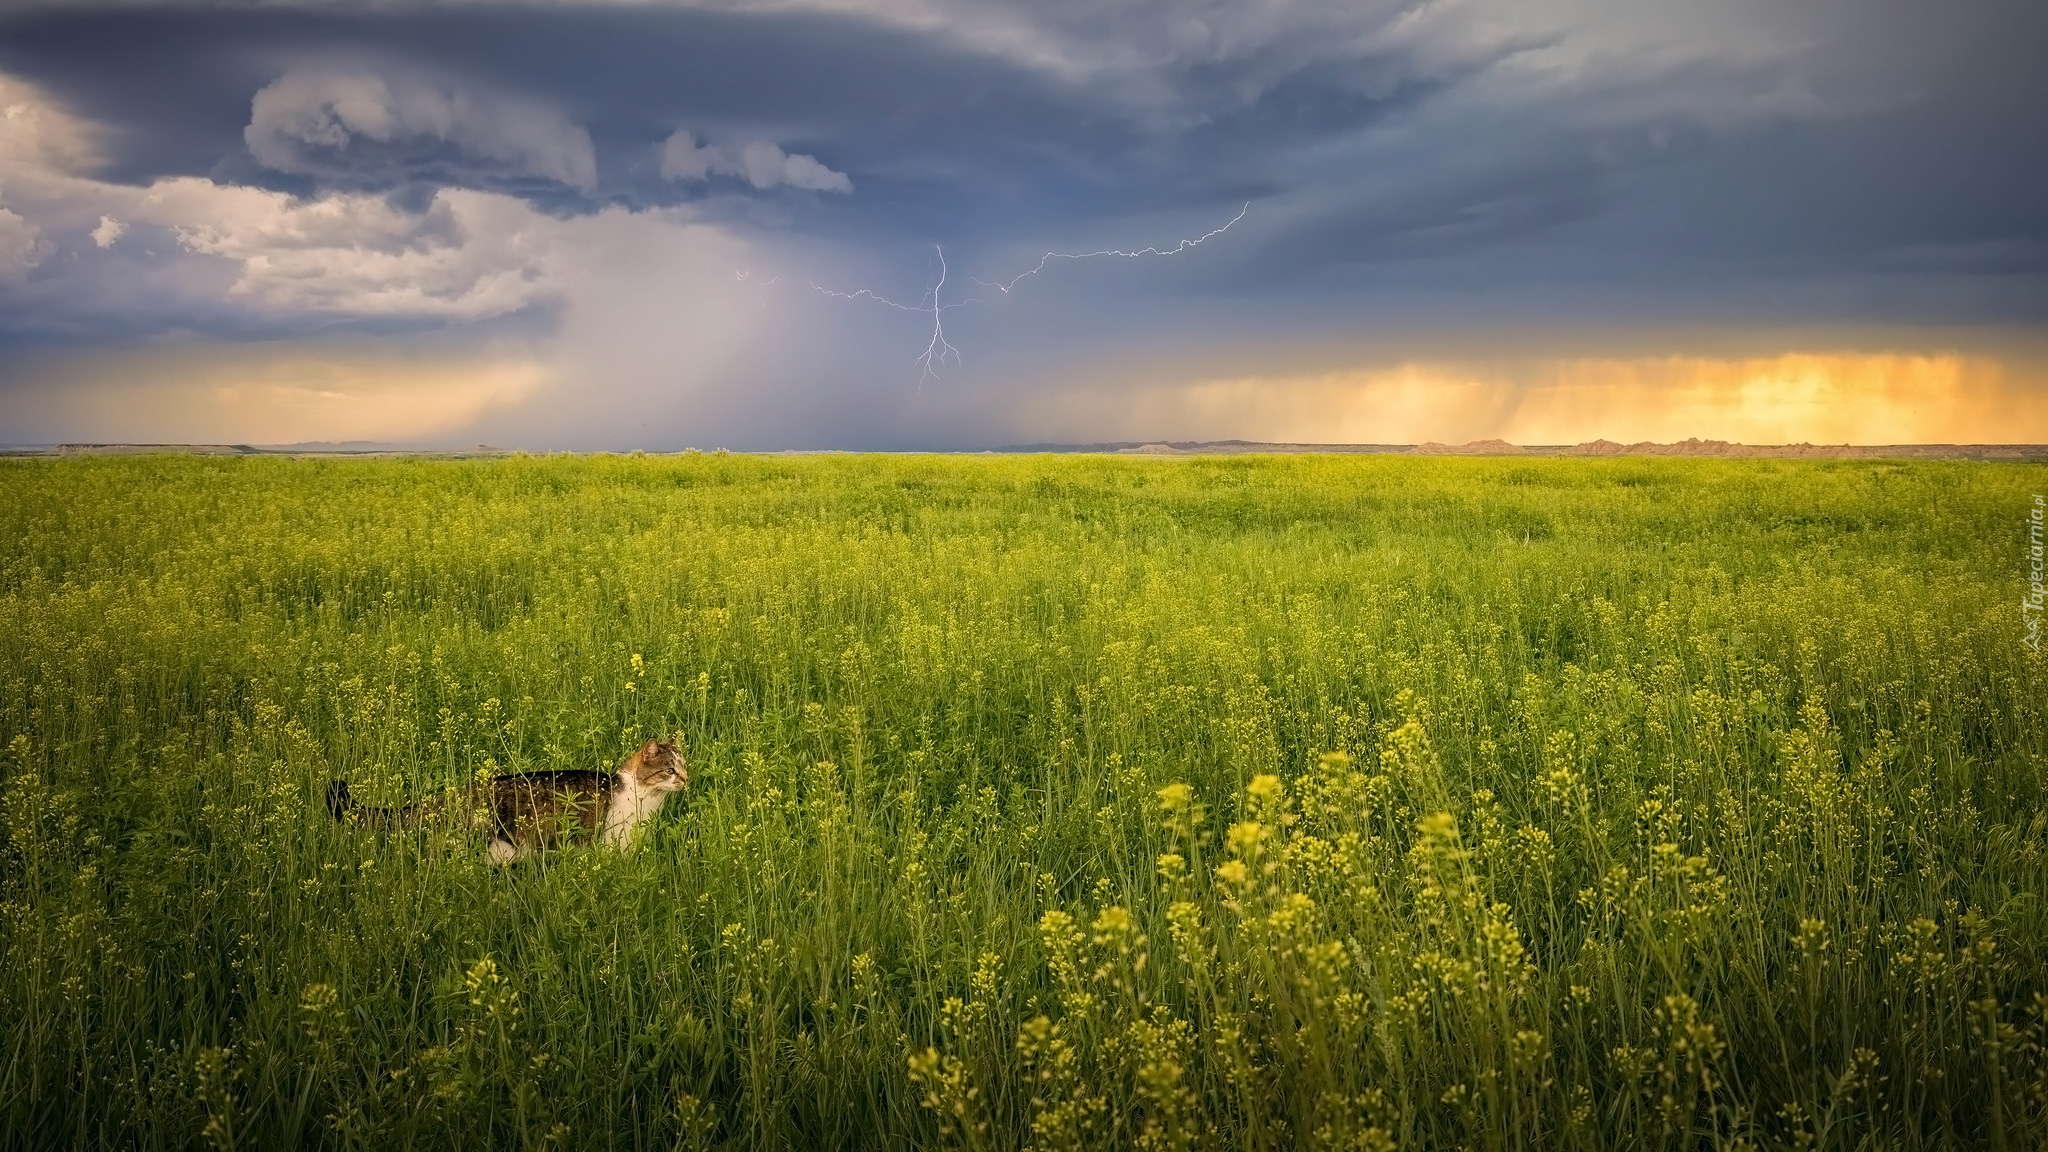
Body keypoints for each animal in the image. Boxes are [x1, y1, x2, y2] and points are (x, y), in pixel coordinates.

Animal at [325, 733, 688, 860]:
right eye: (670, 770)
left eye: (684, 766)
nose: (686, 780)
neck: (644, 798)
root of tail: (455, 793)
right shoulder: (613, 843)